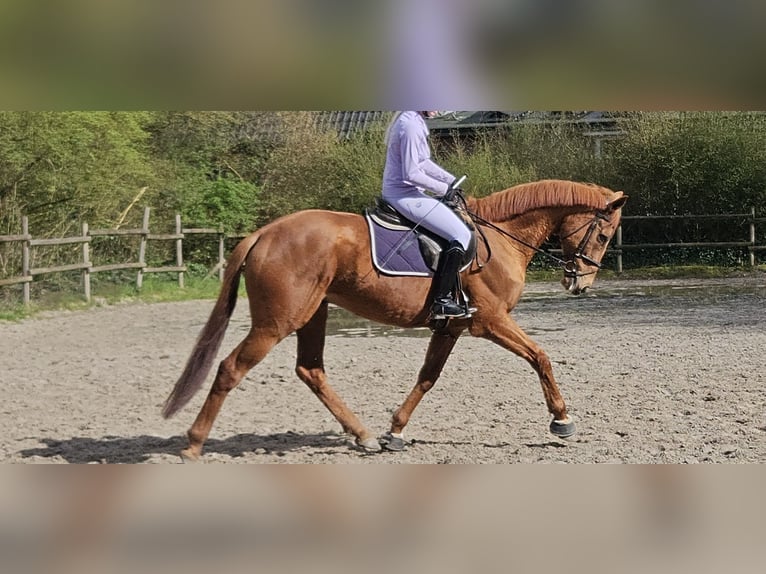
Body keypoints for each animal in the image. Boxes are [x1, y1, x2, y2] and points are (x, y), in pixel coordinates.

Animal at [162, 179, 628, 461]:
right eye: (604, 234)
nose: (580, 284)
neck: (499, 237)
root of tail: (264, 233)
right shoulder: (490, 322)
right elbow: (541, 357)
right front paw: (562, 420)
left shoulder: (453, 326)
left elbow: (427, 377)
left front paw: (395, 431)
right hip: (276, 323)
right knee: (230, 368)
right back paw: (193, 444)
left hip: (313, 314)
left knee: (311, 370)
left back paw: (364, 435)